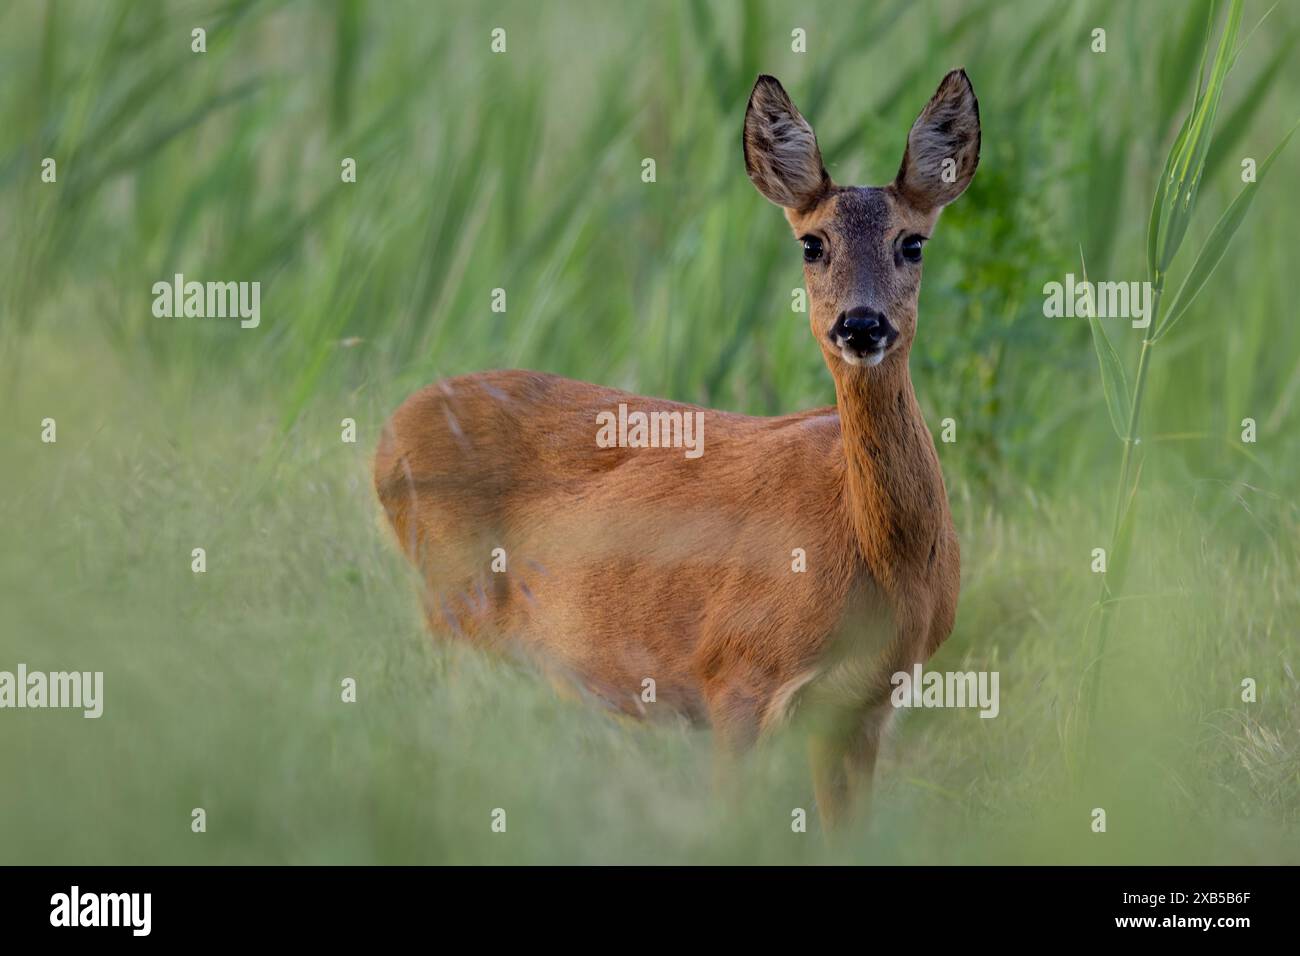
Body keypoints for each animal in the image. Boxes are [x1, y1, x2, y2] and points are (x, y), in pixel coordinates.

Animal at [371, 70, 977, 827]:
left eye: (912, 243)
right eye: (812, 244)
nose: (861, 324)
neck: (875, 559)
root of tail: (390, 430)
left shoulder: (861, 709)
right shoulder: (734, 673)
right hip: (454, 610)